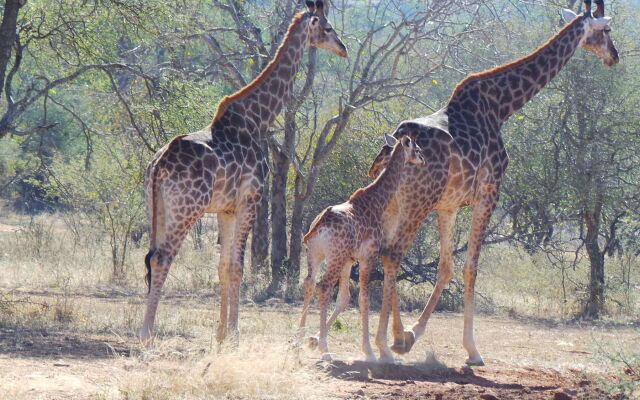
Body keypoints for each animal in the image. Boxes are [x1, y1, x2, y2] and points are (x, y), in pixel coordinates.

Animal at [140, 0, 348, 344]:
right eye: (328, 27)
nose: (343, 48)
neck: (258, 119)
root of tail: (159, 166)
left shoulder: (226, 209)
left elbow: (223, 267)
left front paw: (221, 334)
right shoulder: (250, 201)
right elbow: (237, 267)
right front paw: (235, 335)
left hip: (158, 208)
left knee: (152, 255)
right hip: (186, 209)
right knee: (161, 257)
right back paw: (147, 332)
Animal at [298, 135, 424, 362]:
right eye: (417, 149)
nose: (423, 160)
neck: (377, 203)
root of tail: (318, 225)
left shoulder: (350, 259)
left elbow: (344, 299)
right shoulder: (368, 256)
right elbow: (363, 299)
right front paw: (369, 352)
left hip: (315, 254)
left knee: (309, 283)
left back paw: (296, 343)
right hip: (335, 256)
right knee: (324, 287)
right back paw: (325, 350)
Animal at [368, 0, 616, 366]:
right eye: (606, 30)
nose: (614, 56)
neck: (501, 106)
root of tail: (396, 142)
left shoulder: (449, 205)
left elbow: (446, 268)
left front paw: (414, 334)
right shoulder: (489, 193)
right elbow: (471, 268)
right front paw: (472, 350)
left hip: (396, 203)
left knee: (382, 252)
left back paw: (388, 340)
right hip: (418, 202)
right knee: (393, 253)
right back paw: (388, 343)